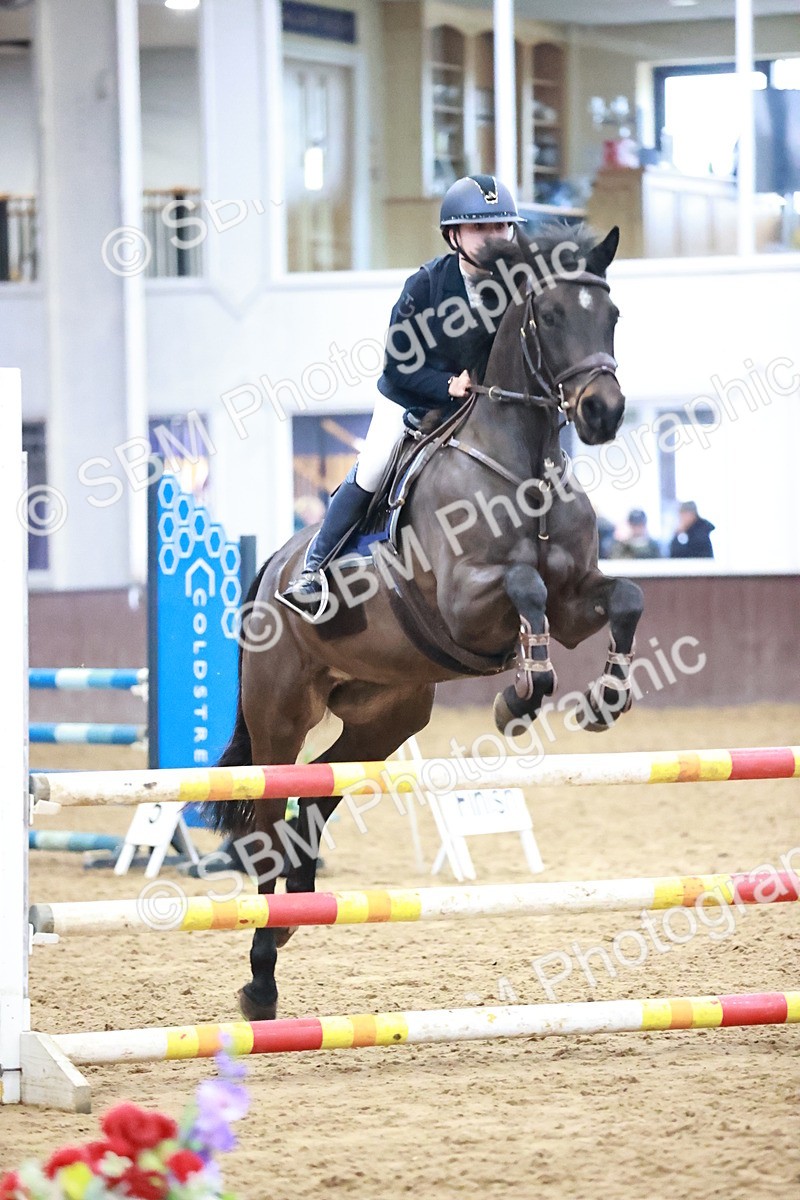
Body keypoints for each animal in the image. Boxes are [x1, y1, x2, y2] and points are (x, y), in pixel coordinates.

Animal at [203, 222, 644, 1021]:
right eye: (551, 315)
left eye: (613, 315)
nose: (603, 413)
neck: (523, 468)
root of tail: (271, 569)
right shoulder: (467, 604)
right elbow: (524, 588)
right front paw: (518, 698)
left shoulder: (575, 602)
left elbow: (624, 598)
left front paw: (604, 700)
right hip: (279, 713)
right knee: (269, 822)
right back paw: (260, 979)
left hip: (386, 716)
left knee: (315, 800)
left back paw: (291, 922)